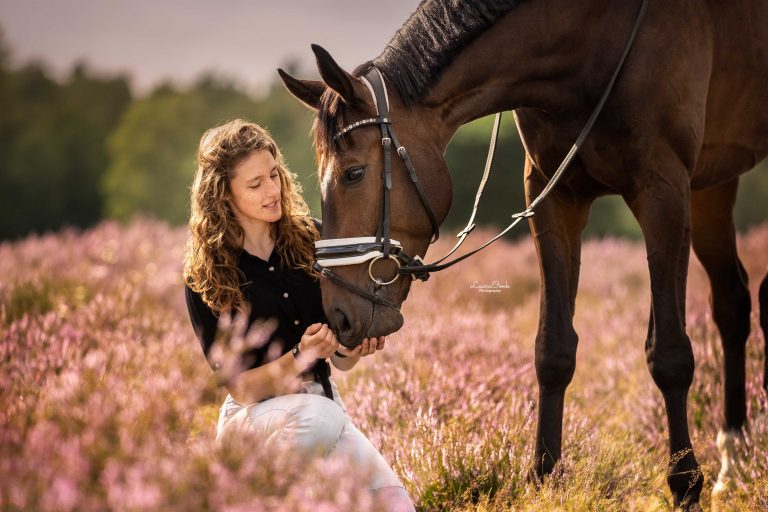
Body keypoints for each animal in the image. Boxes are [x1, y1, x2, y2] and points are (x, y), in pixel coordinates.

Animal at [278, 0, 768, 508]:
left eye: (353, 173)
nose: (338, 314)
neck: (592, 44)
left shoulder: (663, 190)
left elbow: (670, 354)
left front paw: (685, 483)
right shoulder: (553, 196)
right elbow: (553, 349)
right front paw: (545, 476)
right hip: (712, 183)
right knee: (732, 301)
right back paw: (733, 459)